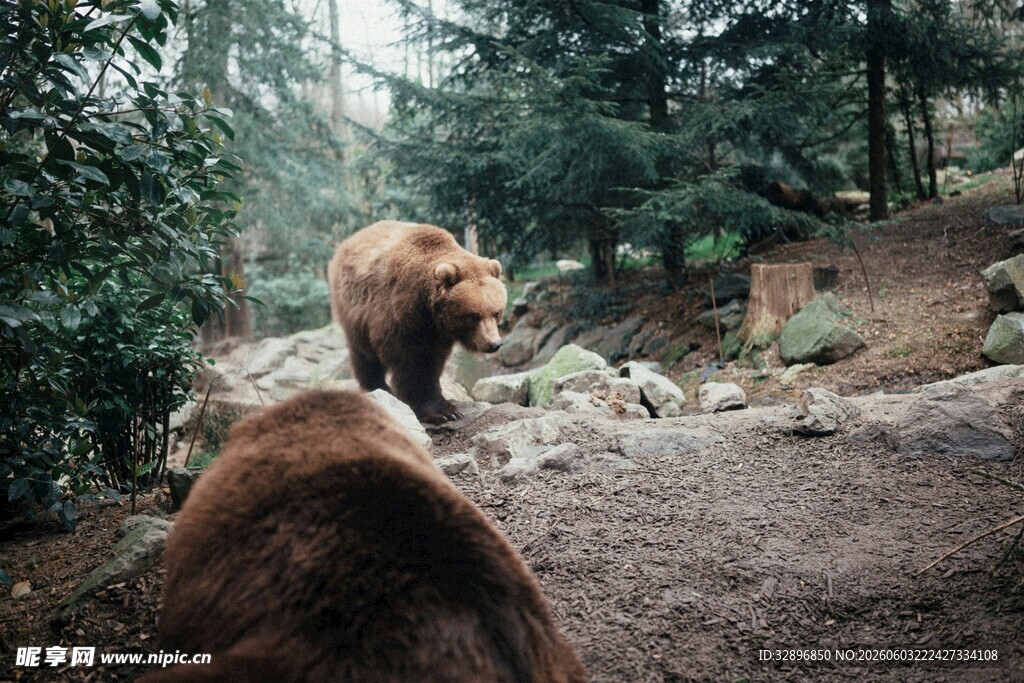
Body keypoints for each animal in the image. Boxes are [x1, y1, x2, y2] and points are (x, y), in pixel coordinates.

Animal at [328, 221, 507, 423]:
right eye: (474, 316)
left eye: (496, 312)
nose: (494, 344)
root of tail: (350, 240)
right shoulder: (399, 314)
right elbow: (413, 362)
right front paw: (442, 411)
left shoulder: (436, 332)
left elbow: (435, 359)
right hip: (353, 307)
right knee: (364, 354)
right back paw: (377, 387)